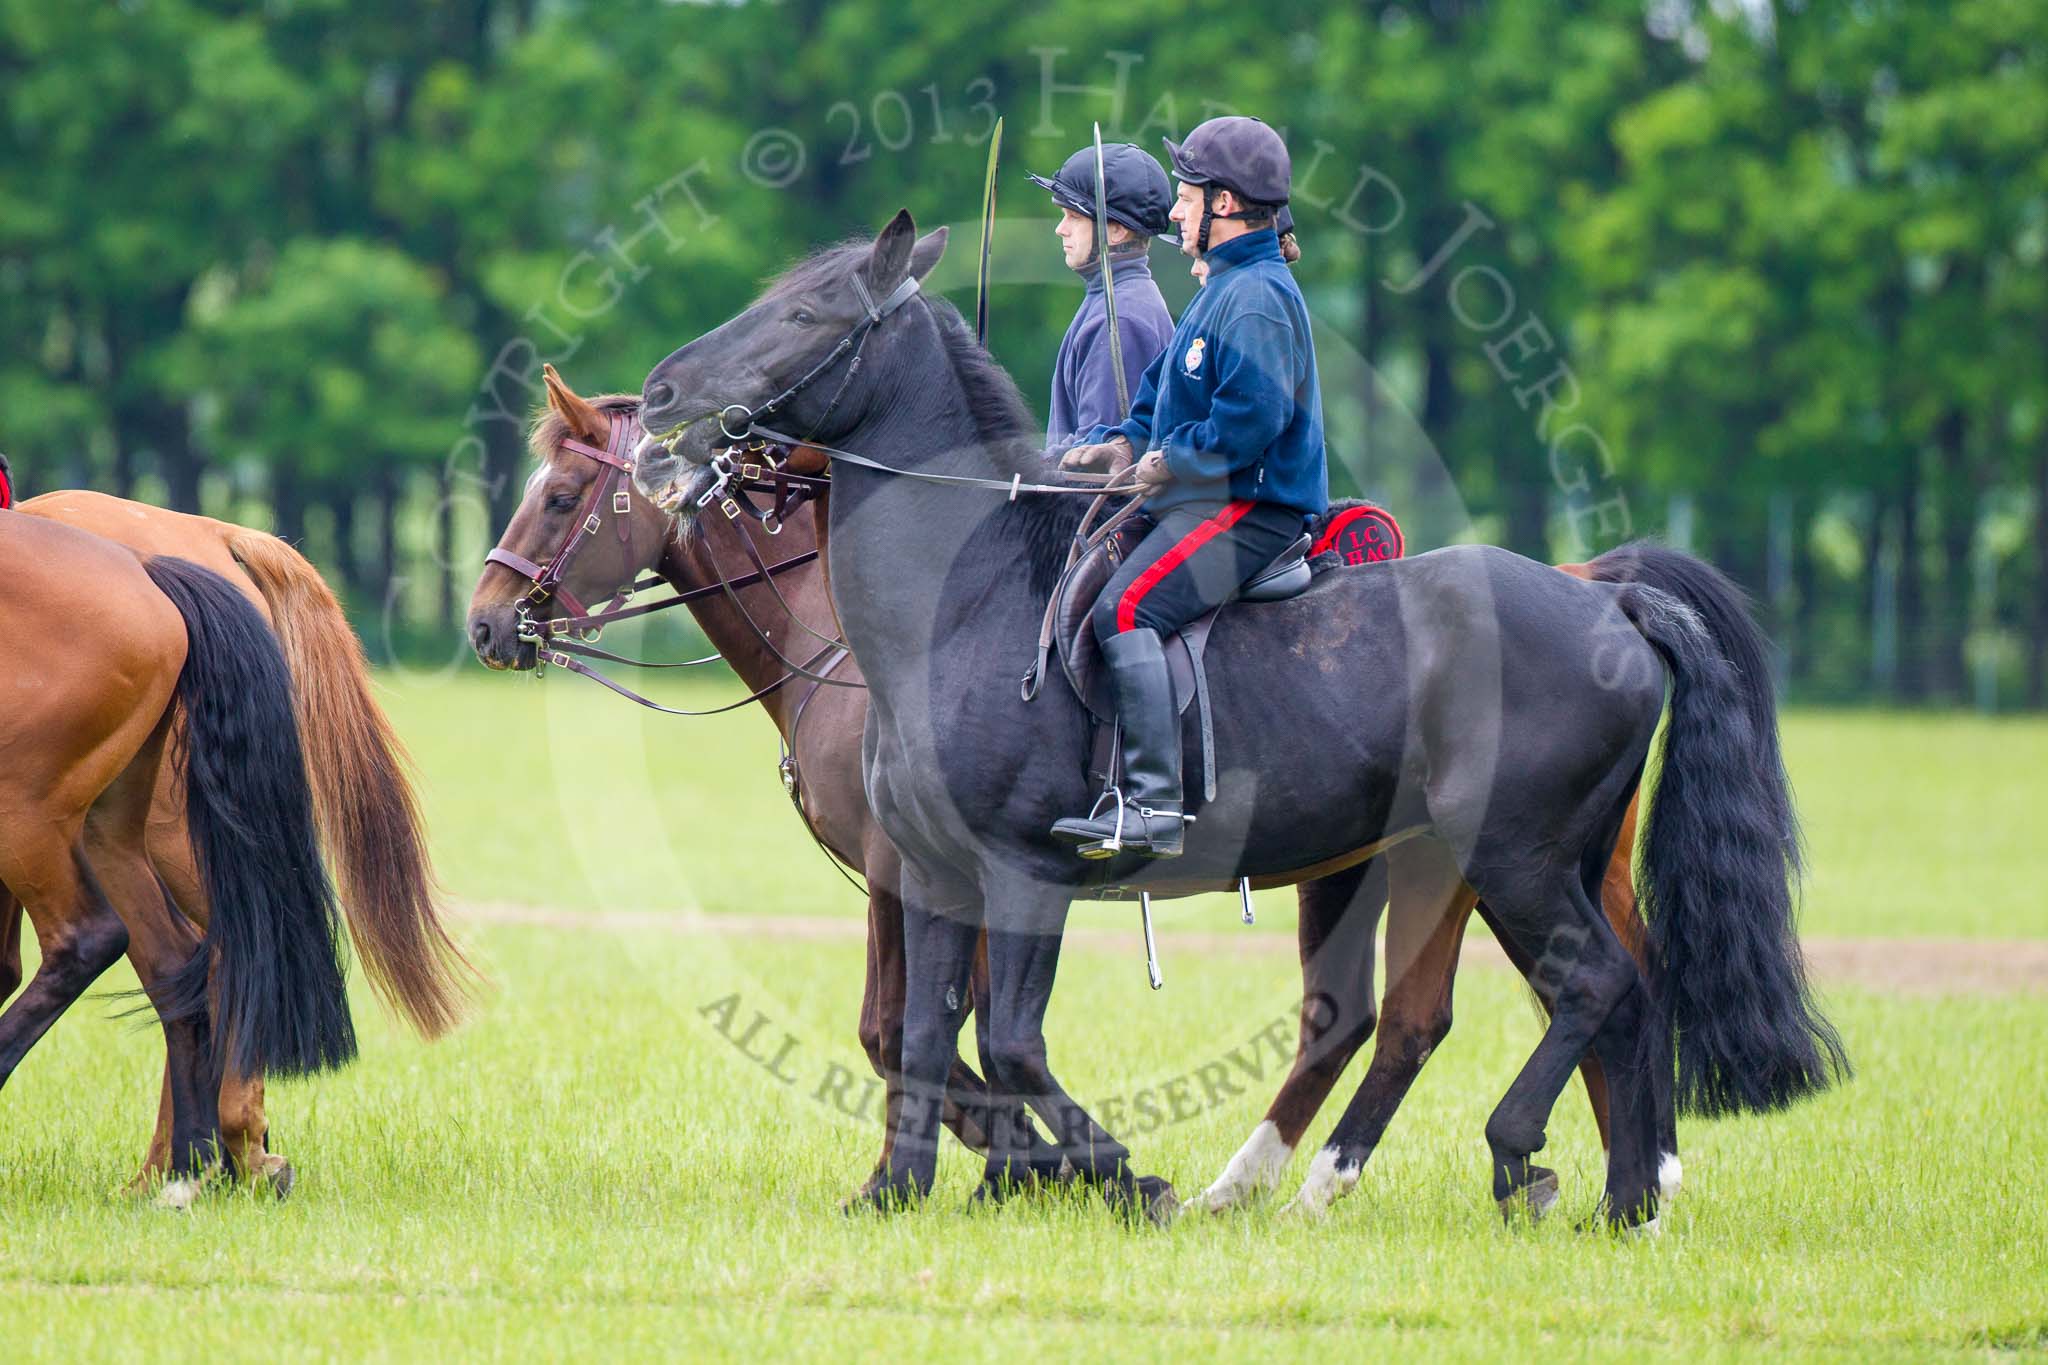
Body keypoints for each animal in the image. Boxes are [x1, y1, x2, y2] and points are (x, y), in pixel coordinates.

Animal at [3, 493, 471, 1195]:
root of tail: (202, 540)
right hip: (108, 832)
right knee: (196, 962)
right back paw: (201, 1162)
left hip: (56, 820)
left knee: (172, 950)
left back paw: (209, 1158)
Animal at [630, 210, 1851, 1227]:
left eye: (807, 315)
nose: (659, 401)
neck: (964, 601)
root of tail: (1605, 598)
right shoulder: (933, 873)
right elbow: (926, 1036)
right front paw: (901, 1191)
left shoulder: (1022, 874)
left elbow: (1008, 1043)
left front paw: (1118, 1176)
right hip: (1492, 862)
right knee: (1594, 1002)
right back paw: (1611, 1195)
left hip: (1514, 857)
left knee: (1588, 987)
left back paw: (1510, 1158)